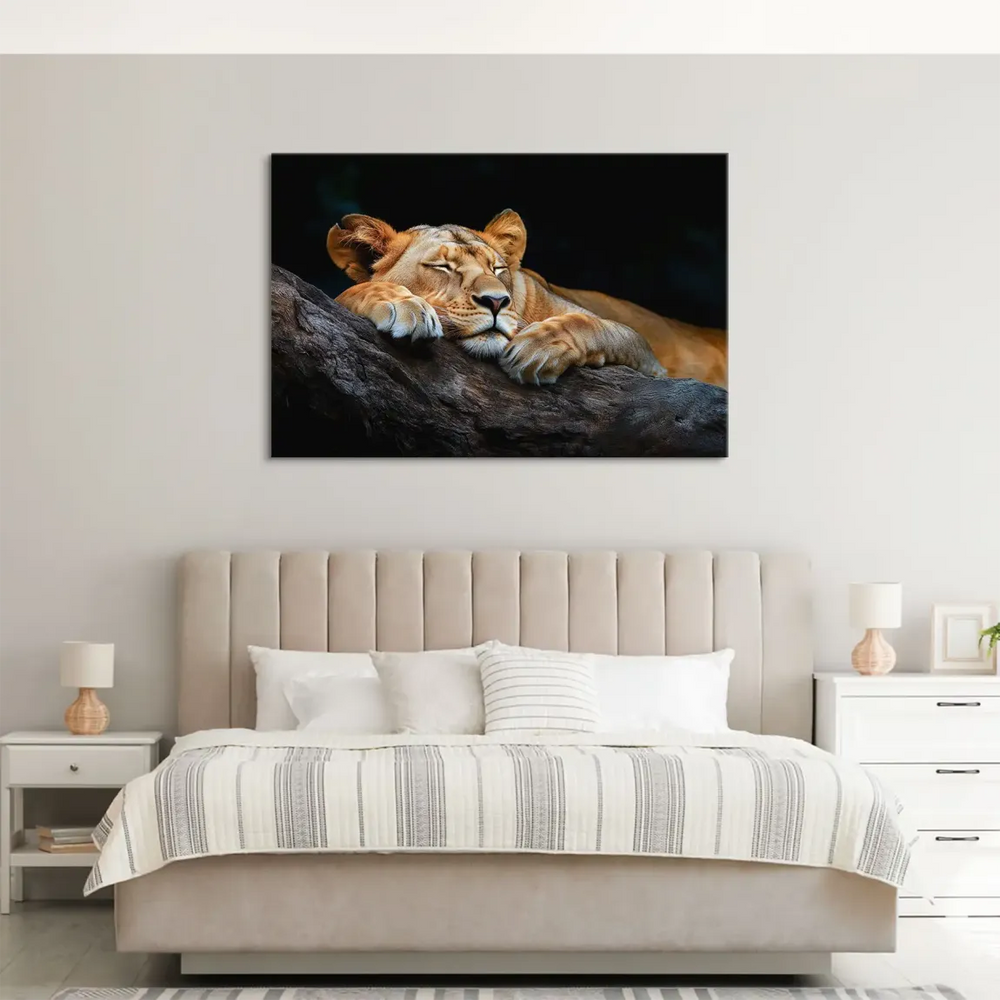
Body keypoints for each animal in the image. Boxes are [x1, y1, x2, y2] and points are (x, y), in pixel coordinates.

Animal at [326, 210, 727, 388]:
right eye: (442, 266)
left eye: (498, 267)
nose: (496, 302)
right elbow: (347, 292)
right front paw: (404, 305)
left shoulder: (648, 358)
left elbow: (590, 324)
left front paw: (538, 348)